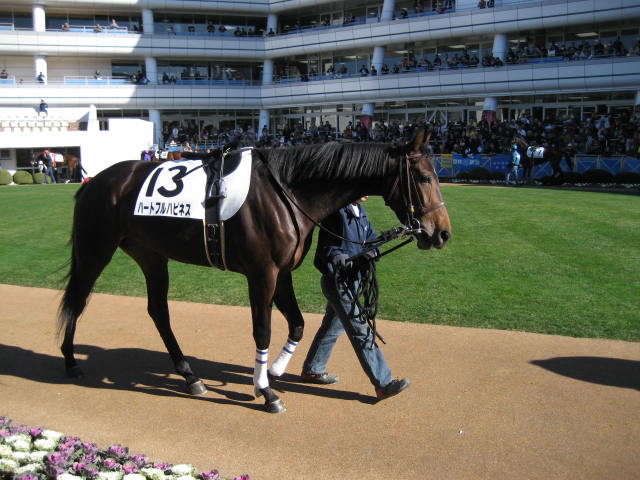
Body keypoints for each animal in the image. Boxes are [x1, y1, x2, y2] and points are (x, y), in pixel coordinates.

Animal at [57, 127, 451, 413]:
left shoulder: (284, 272)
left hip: (151, 256)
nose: (443, 233)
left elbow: (297, 323)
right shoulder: (262, 274)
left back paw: (190, 377)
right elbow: (262, 330)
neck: (287, 191)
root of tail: (95, 181)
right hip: (95, 251)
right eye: (424, 177)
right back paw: (71, 361)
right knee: (77, 299)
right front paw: (266, 390)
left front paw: (274, 372)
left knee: (158, 312)